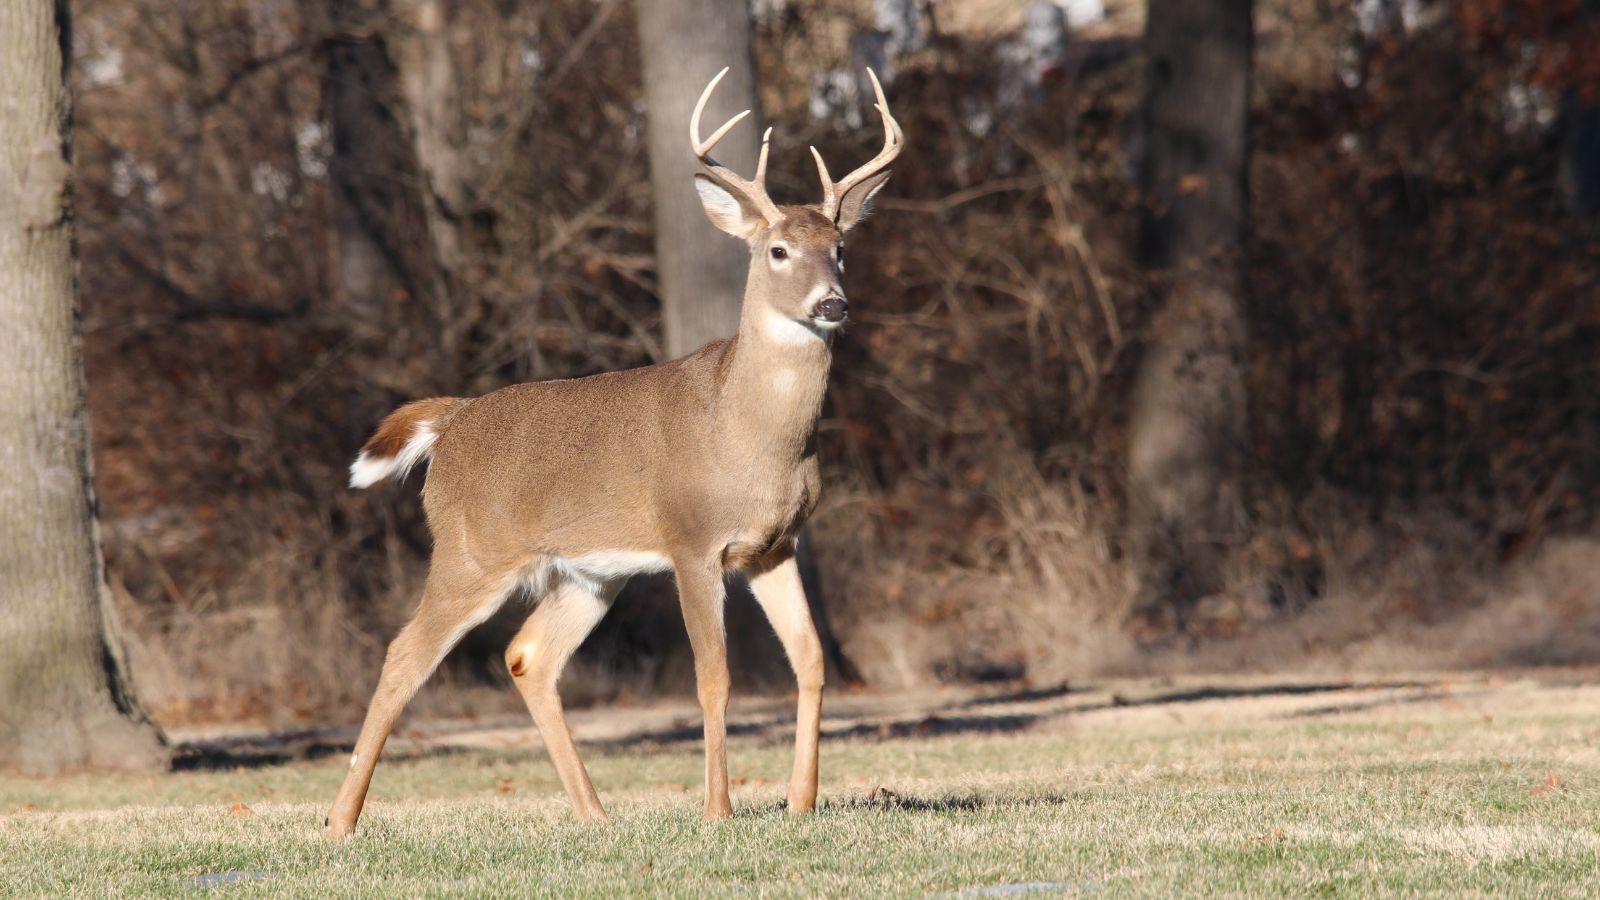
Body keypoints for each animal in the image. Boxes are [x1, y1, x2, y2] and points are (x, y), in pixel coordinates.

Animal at [325, 67, 902, 840]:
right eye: (777, 251)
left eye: (840, 248)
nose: (832, 303)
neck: (754, 438)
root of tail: (451, 422)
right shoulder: (692, 540)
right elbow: (713, 677)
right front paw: (718, 810)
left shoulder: (776, 545)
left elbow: (809, 660)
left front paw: (800, 801)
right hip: (471, 552)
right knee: (403, 656)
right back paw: (340, 822)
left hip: (589, 574)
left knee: (528, 655)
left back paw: (594, 813)